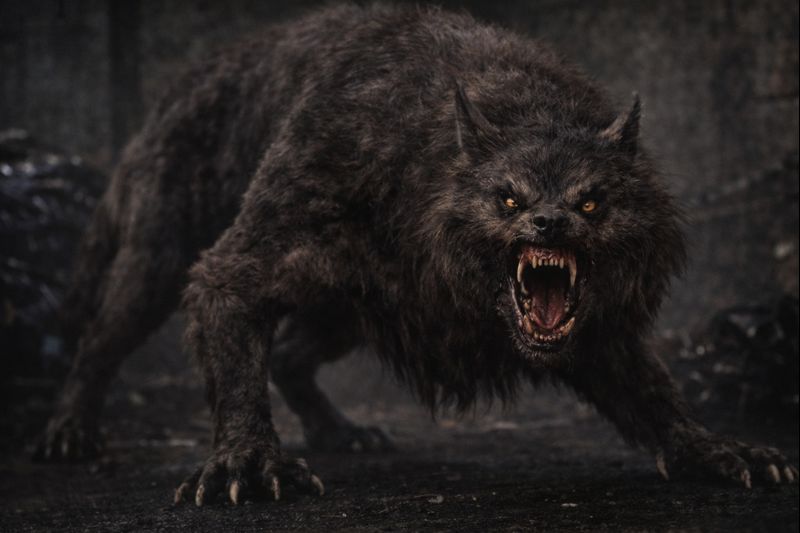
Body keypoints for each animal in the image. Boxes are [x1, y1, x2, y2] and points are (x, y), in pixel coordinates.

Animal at [36, 4, 796, 504]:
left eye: (591, 203)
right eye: (509, 199)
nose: (550, 223)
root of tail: (174, 90)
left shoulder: (600, 330)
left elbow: (655, 394)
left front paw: (716, 450)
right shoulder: (241, 264)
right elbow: (233, 359)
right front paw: (247, 464)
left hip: (347, 304)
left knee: (290, 354)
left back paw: (341, 431)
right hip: (158, 260)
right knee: (98, 339)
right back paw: (69, 431)